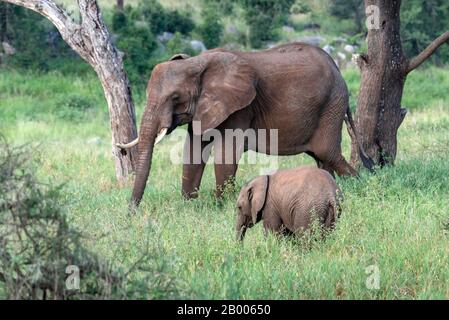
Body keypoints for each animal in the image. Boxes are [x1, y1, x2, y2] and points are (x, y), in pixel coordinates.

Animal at [117, 42, 372, 206]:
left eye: (174, 97)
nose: (131, 211)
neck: (197, 62)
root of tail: (338, 68)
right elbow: (194, 151)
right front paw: (188, 205)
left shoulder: (239, 107)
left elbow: (226, 153)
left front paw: (221, 206)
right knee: (322, 159)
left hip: (331, 105)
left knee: (328, 154)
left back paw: (363, 188)